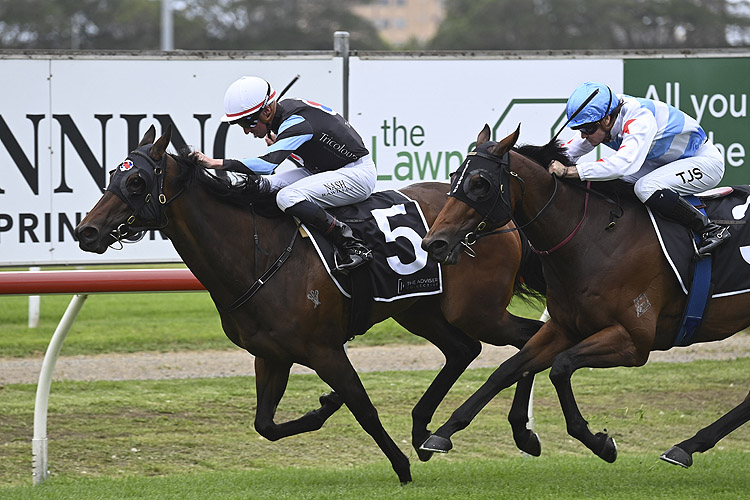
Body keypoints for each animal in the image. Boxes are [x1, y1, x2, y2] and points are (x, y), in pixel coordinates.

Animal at [75, 125, 548, 484]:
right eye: (112, 174)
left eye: (136, 181)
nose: (87, 231)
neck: (258, 255)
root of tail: (502, 218)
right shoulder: (270, 355)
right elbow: (265, 425)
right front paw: (324, 407)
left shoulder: (325, 349)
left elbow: (363, 408)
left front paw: (399, 467)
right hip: (419, 309)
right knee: (465, 349)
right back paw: (425, 429)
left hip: (476, 310)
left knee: (529, 339)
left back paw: (519, 434)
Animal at [420, 125, 750, 468]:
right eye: (454, 176)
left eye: (480, 183)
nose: (434, 243)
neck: (595, 238)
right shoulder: (564, 328)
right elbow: (506, 370)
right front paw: (443, 433)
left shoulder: (633, 341)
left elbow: (561, 367)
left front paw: (600, 443)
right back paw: (687, 446)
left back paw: (687, 445)